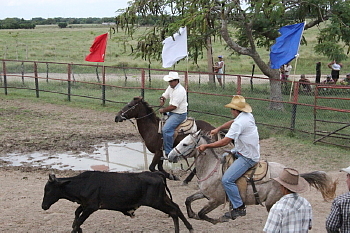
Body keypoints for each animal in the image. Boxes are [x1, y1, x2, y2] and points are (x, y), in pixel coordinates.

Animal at [42, 170, 194, 232]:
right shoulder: (84, 205)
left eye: (48, 190)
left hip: (157, 202)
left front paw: (76, 229)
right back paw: (188, 227)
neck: (83, 183)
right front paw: (78, 229)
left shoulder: (91, 207)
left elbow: (79, 220)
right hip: (162, 198)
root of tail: (157, 173)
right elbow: (76, 215)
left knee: (173, 211)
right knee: (176, 208)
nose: (43, 206)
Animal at [168, 131, 338, 224]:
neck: (212, 169)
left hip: (271, 202)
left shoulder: (216, 200)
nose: (170, 156)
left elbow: (203, 214)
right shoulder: (205, 194)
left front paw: (219, 219)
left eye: (185, 144)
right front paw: (192, 214)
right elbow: (188, 200)